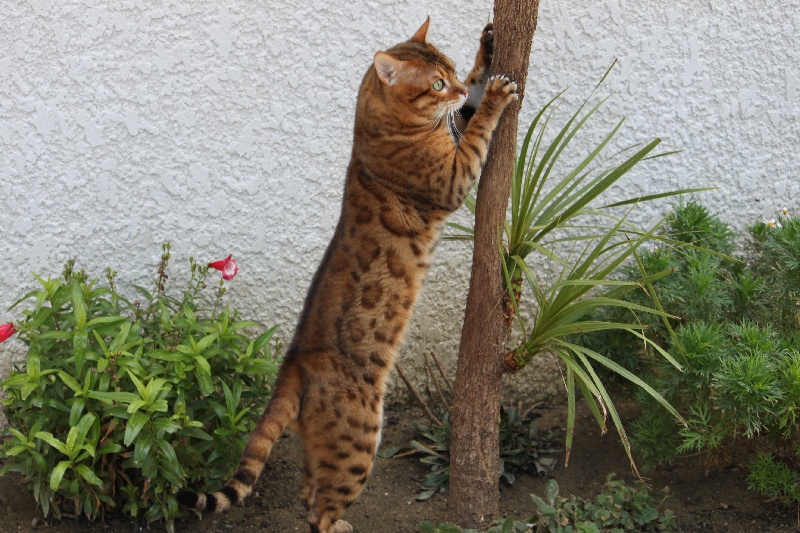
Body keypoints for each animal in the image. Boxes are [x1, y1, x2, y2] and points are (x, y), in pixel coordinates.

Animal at [177, 17, 520, 532]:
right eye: (437, 84)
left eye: (452, 70)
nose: (456, 87)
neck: (373, 128)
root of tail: (291, 367)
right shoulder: (452, 175)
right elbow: (479, 123)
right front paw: (496, 95)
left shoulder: (453, 129)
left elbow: (470, 106)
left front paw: (488, 47)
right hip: (360, 440)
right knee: (320, 509)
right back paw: (340, 524)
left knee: (307, 491)